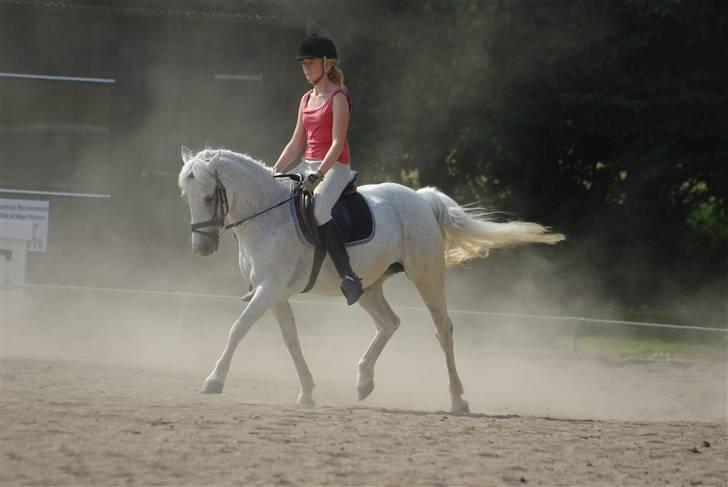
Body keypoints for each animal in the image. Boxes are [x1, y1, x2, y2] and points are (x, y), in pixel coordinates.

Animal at [178, 147, 564, 413]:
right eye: (186, 197)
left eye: (209, 196)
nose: (201, 248)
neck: (267, 215)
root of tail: (420, 197)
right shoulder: (276, 293)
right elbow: (291, 340)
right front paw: (307, 392)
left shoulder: (269, 289)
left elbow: (238, 328)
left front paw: (214, 381)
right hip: (367, 286)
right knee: (389, 323)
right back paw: (364, 381)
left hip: (426, 276)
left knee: (443, 330)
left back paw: (458, 399)